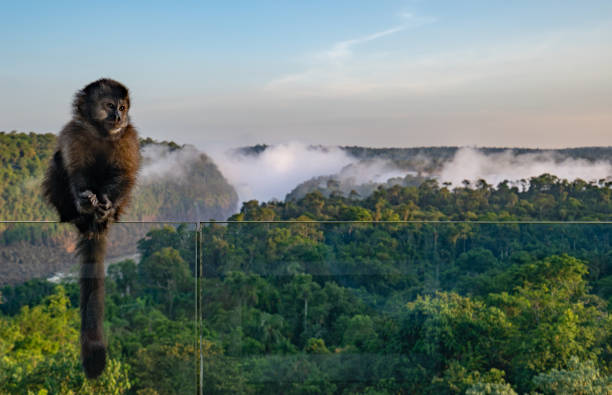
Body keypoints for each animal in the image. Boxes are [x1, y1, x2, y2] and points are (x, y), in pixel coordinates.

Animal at [41, 78, 140, 380]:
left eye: (123, 108)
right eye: (109, 106)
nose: (119, 117)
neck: (102, 133)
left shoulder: (128, 136)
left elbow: (124, 175)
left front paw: (105, 203)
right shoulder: (73, 132)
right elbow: (76, 172)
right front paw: (85, 199)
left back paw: (103, 215)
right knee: (58, 162)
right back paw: (80, 213)